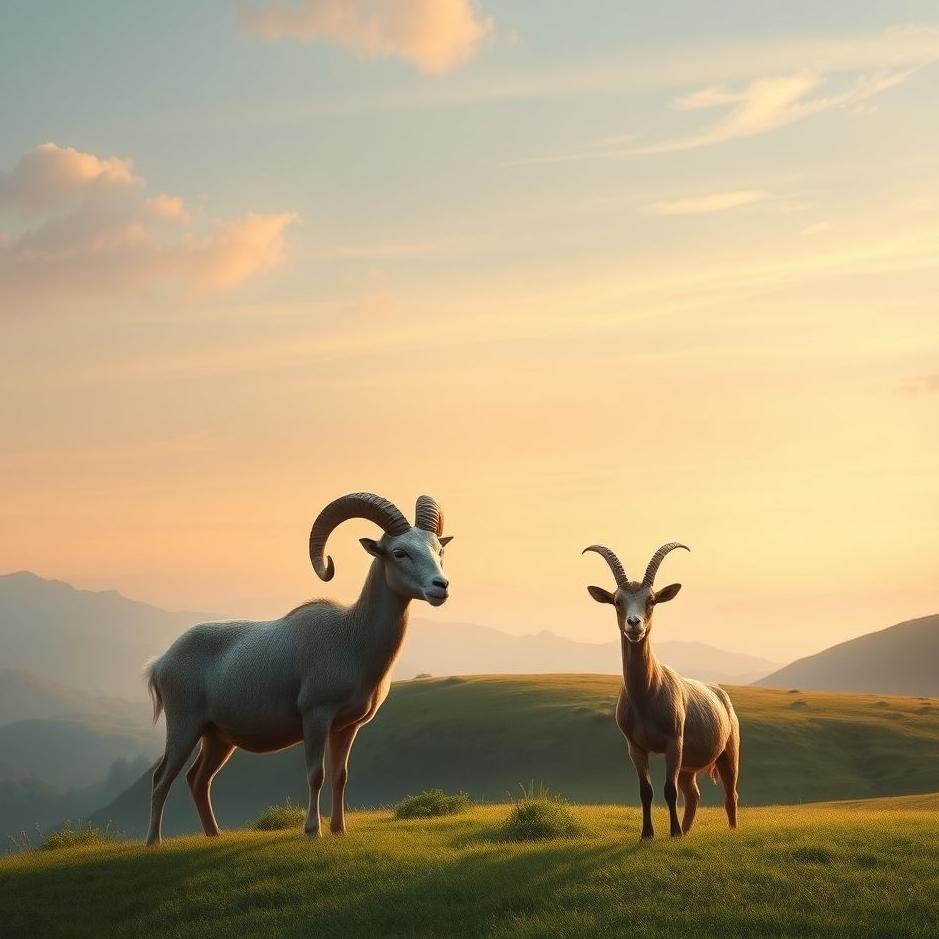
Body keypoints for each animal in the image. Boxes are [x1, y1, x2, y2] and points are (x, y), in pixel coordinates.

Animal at [144, 492, 452, 846]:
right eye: (400, 552)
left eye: (439, 550)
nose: (441, 586)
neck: (352, 639)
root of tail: (161, 663)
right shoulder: (316, 717)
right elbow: (316, 774)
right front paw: (312, 830)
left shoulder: (347, 728)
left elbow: (340, 776)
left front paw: (339, 829)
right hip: (184, 727)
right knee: (162, 779)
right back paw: (154, 842)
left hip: (217, 738)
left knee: (198, 779)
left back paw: (214, 835)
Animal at [583, 543, 739, 838]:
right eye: (617, 601)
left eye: (652, 600)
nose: (634, 624)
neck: (647, 695)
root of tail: (720, 694)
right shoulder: (635, 747)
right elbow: (646, 791)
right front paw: (647, 834)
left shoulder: (673, 742)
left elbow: (669, 790)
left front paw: (673, 833)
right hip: (688, 766)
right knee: (693, 794)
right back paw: (687, 831)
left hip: (729, 750)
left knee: (730, 794)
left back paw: (727, 830)